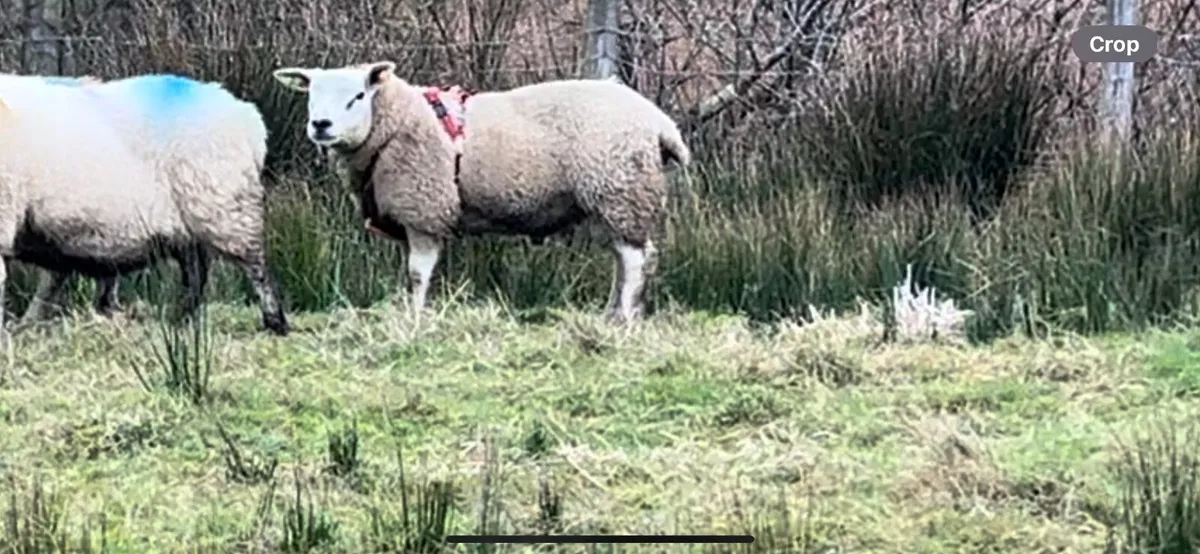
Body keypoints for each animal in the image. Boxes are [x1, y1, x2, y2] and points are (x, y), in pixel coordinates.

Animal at [0, 73, 290, 335]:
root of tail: (247, 116)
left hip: (224, 208)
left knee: (255, 265)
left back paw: (275, 322)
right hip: (191, 227)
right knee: (195, 274)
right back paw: (181, 320)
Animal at [272, 61, 691, 323]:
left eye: (358, 96)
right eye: (310, 95)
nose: (320, 125)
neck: (395, 125)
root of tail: (660, 122)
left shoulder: (425, 210)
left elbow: (417, 274)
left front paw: (415, 320)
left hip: (620, 190)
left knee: (636, 260)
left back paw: (625, 318)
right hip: (612, 201)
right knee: (625, 258)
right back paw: (613, 314)